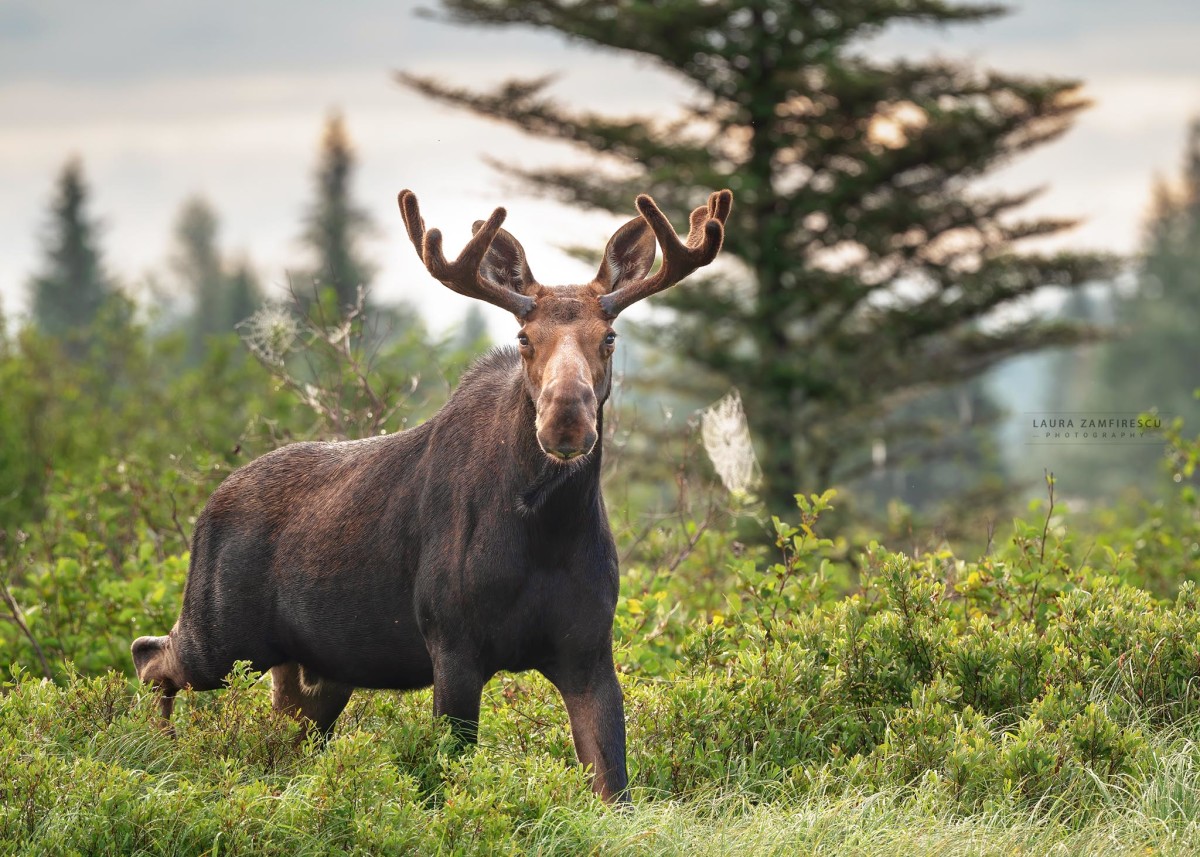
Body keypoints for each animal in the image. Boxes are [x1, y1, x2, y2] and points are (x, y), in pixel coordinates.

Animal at [131, 187, 733, 802]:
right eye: (523, 338)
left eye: (608, 337)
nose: (566, 419)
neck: (545, 531)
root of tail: (207, 509)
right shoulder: (452, 644)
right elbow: (450, 776)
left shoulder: (588, 650)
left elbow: (616, 790)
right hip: (222, 633)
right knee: (148, 654)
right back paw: (156, 752)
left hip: (317, 669)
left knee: (279, 734)